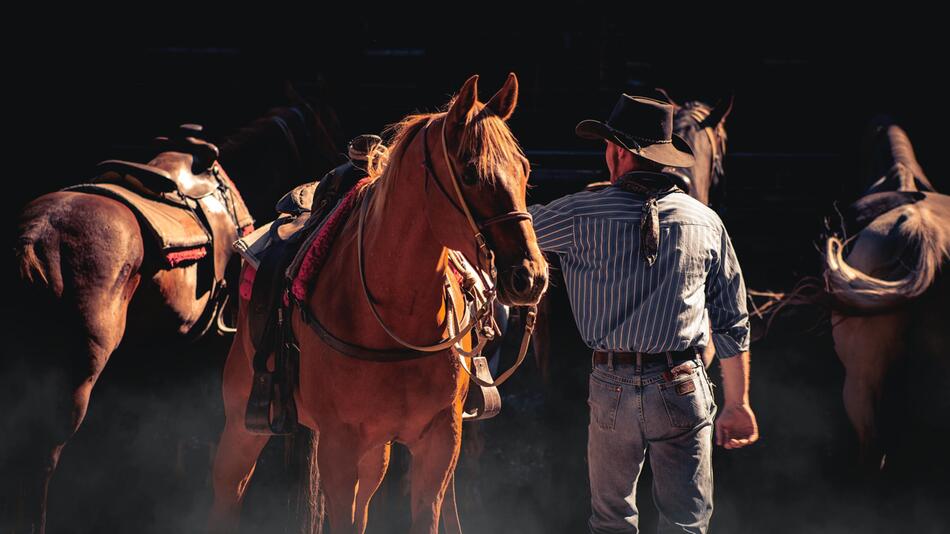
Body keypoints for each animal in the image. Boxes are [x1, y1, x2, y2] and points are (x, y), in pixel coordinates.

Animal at [211, 74, 548, 534]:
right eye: (471, 173)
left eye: (523, 168)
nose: (530, 276)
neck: (396, 315)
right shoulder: (339, 447)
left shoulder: (440, 443)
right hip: (244, 422)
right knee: (229, 488)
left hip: (375, 453)